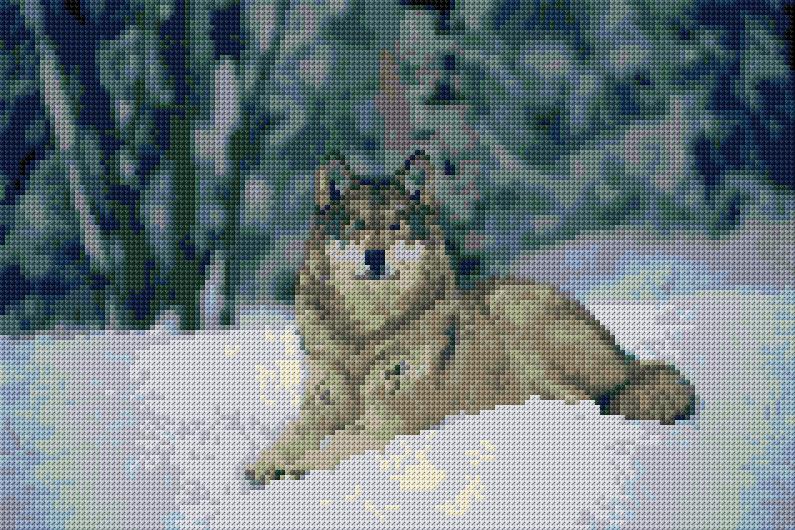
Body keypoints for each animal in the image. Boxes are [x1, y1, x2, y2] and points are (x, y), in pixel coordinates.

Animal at [246, 151, 695, 484]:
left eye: (396, 226)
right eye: (356, 226)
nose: (376, 257)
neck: (366, 333)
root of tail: (625, 357)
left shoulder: (399, 411)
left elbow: (340, 440)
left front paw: (300, 467)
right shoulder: (323, 402)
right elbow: (293, 433)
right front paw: (266, 462)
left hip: (515, 315)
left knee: (588, 399)